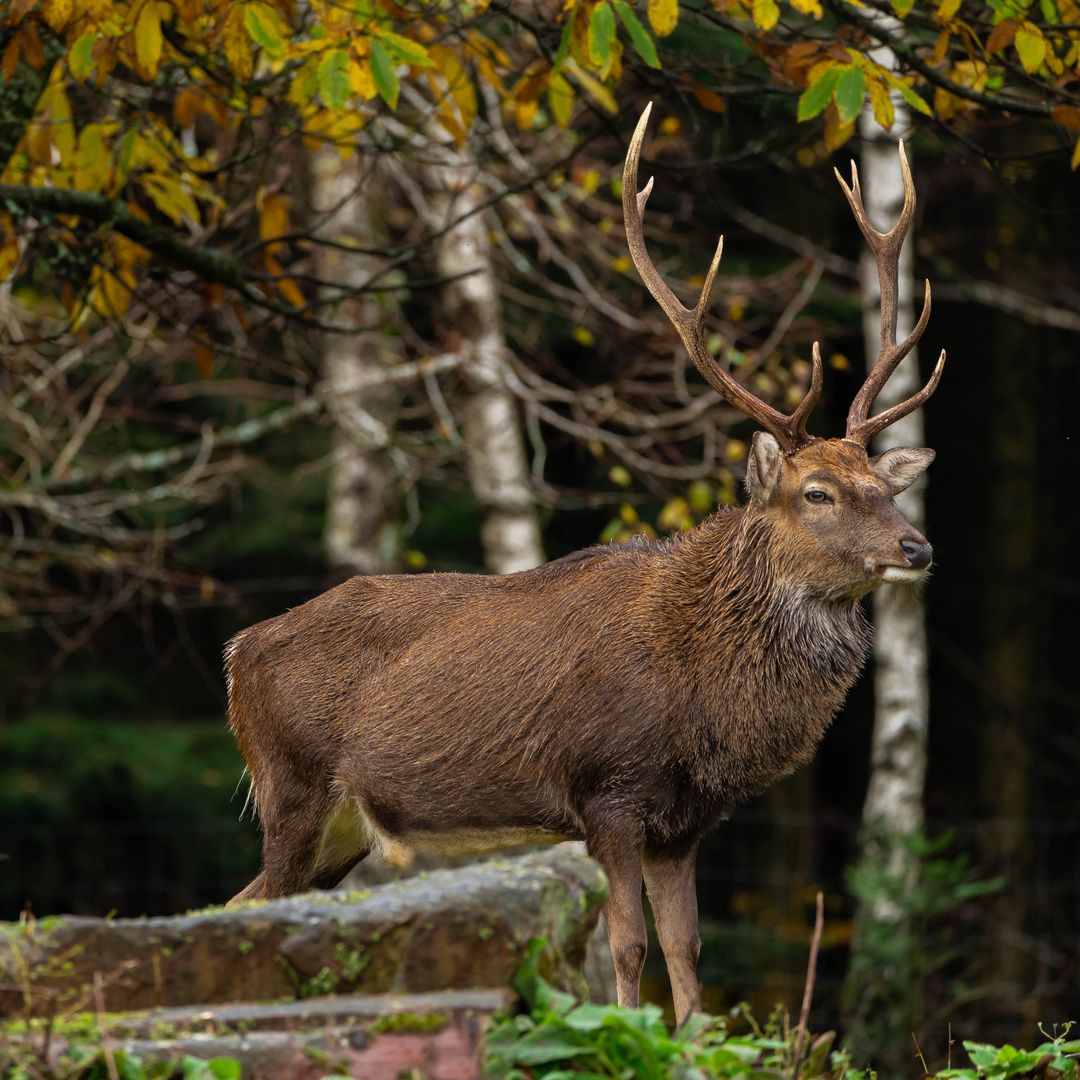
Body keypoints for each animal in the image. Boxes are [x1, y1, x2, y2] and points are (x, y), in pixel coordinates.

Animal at [225, 103, 946, 1028]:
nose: (916, 547)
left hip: (339, 826)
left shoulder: (685, 820)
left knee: (238, 903)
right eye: (817, 492)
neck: (701, 688)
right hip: (291, 782)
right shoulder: (606, 788)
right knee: (252, 906)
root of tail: (237, 652)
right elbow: (629, 947)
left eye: (882, 486)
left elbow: (687, 952)